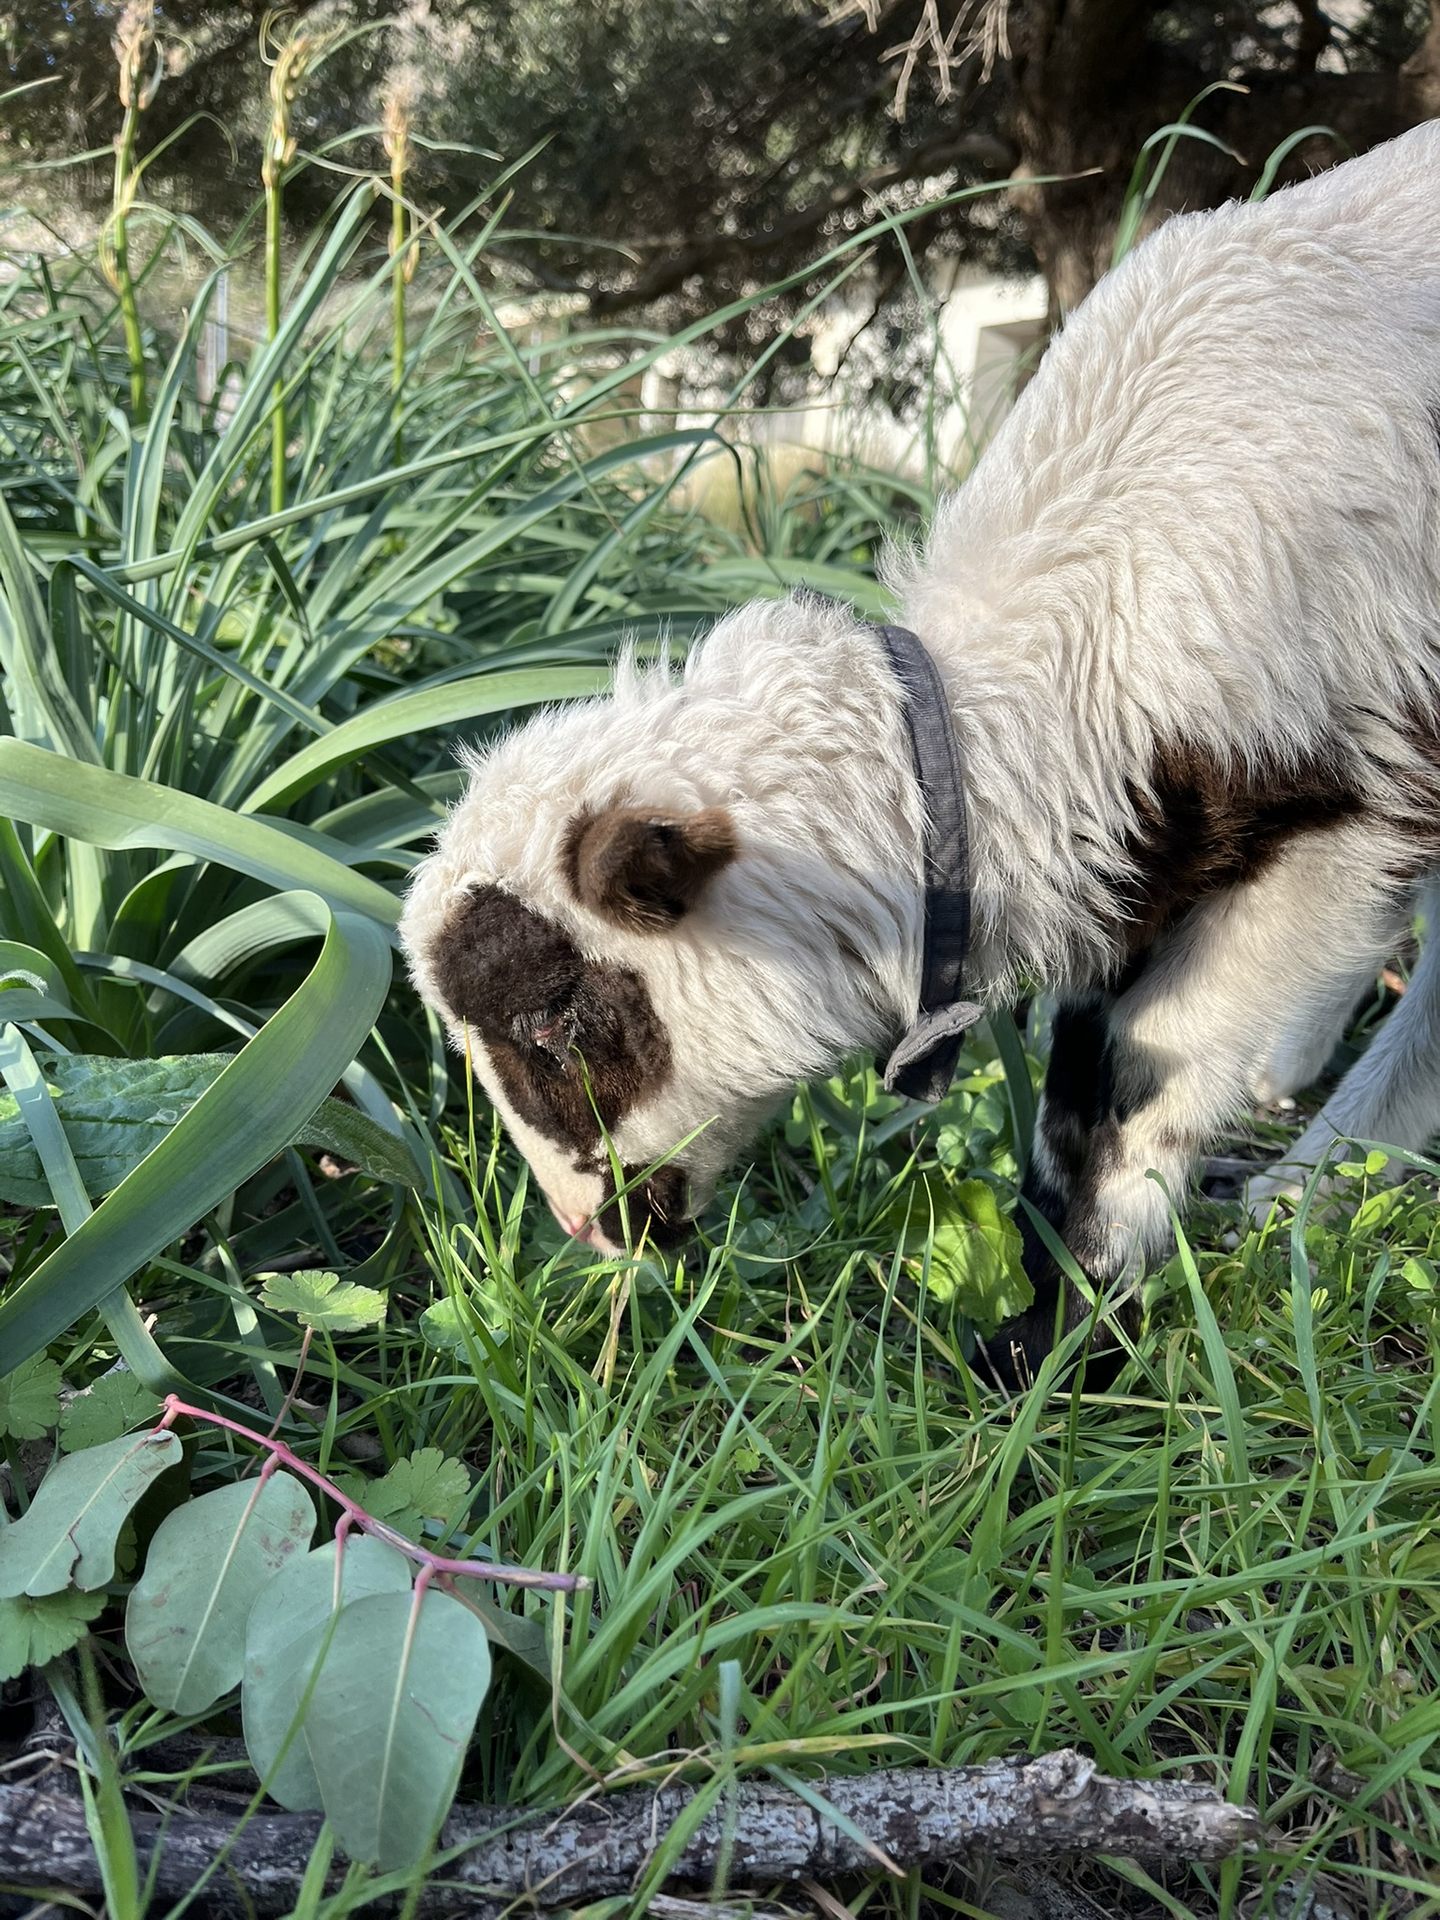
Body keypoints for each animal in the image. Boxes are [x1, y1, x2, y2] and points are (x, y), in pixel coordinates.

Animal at [399, 119, 1440, 1381]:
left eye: (553, 1021)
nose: (584, 1227)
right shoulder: (1141, 846)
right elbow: (1078, 1092)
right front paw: (1043, 1330)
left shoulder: (1343, 810)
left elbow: (1141, 1079)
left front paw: (1061, 1347)